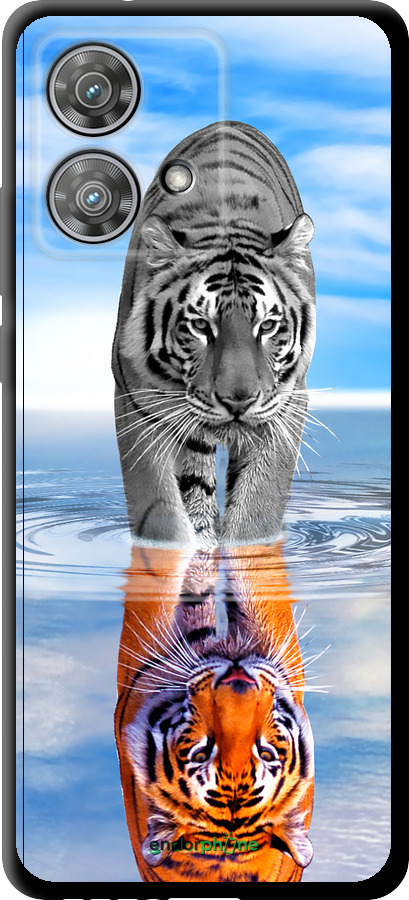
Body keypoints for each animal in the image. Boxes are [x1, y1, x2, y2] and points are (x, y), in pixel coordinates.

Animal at [112, 121, 316, 549]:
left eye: (267, 326)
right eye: (200, 326)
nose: (238, 400)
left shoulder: (287, 404)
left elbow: (258, 509)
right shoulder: (136, 401)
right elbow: (160, 512)